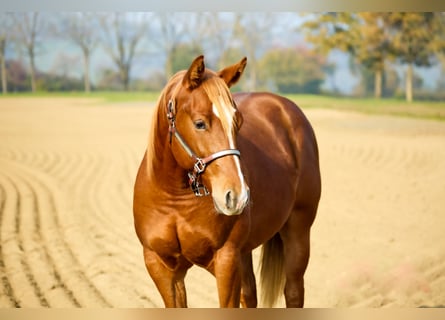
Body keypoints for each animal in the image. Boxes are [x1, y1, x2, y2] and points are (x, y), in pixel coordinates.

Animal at [132, 55, 320, 308]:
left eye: (238, 123)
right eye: (200, 123)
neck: (174, 199)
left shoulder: (226, 260)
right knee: (250, 296)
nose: (237, 195)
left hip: (298, 231)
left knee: (293, 292)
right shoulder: (161, 267)